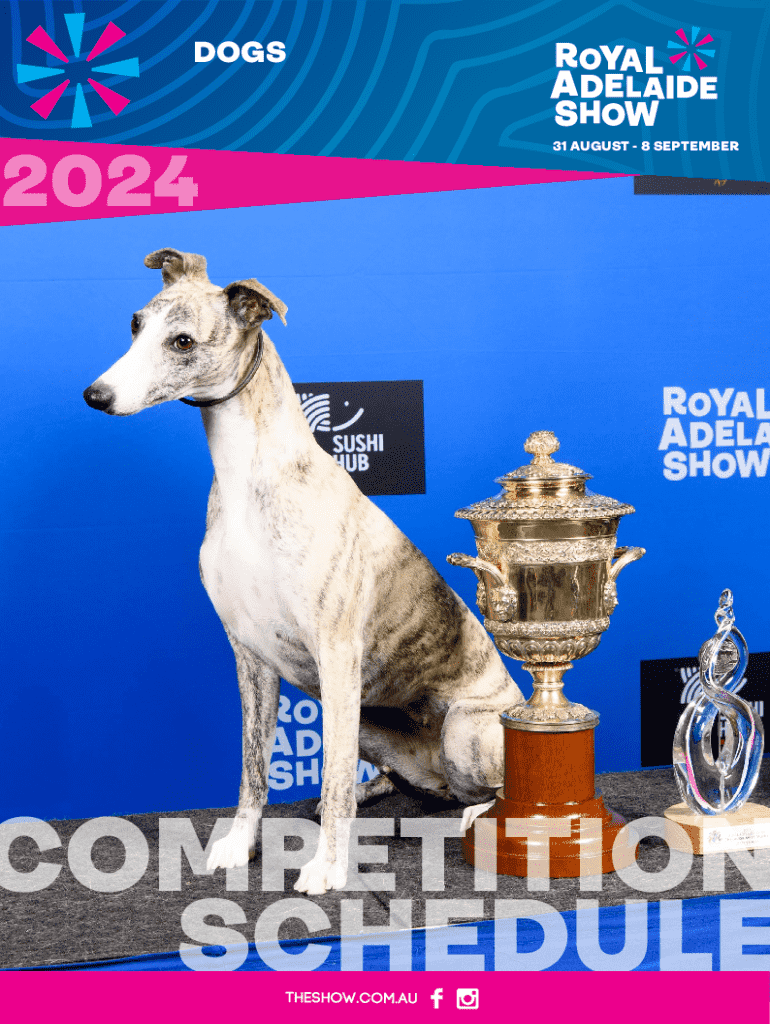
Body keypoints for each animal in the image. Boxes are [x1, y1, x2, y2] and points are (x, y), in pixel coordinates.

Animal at [83, 248, 522, 894]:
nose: (96, 394)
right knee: (415, 784)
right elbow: (254, 769)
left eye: (182, 341)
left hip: (464, 729)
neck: (250, 478)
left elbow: (332, 772)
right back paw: (380, 789)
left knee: (490, 787)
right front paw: (240, 845)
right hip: (371, 722)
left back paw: (482, 811)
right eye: (136, 325)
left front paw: (329, 867)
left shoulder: (337, 651)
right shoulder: (249, 654)